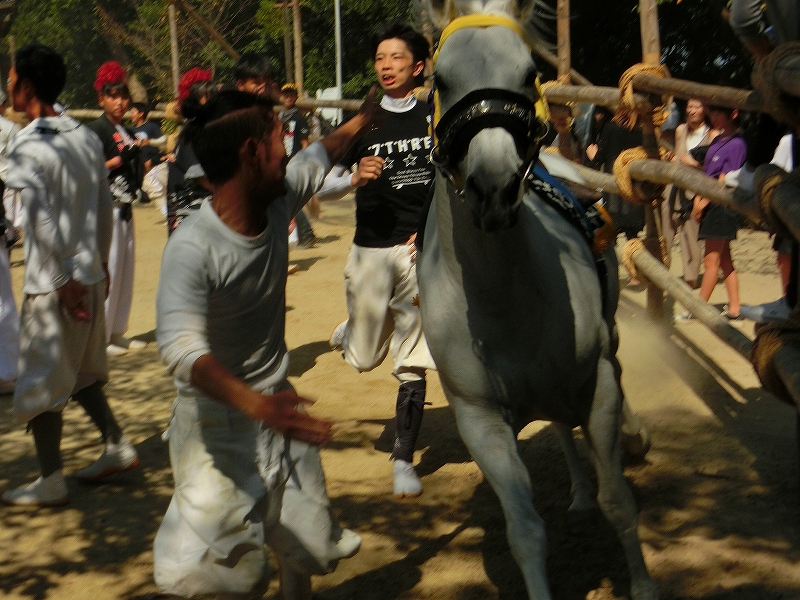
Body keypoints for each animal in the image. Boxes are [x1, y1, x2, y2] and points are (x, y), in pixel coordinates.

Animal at [415, 2, 659, 599]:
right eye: (439, 79)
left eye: (529, 73)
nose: (494, 186)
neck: (505, 303)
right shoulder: (480, 420)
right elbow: (525, 531)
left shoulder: (597, 384)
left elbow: (619, 500)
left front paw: (643, 584)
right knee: (562, 429)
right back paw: (577, 491)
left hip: (608, 336)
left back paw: (634, 438)